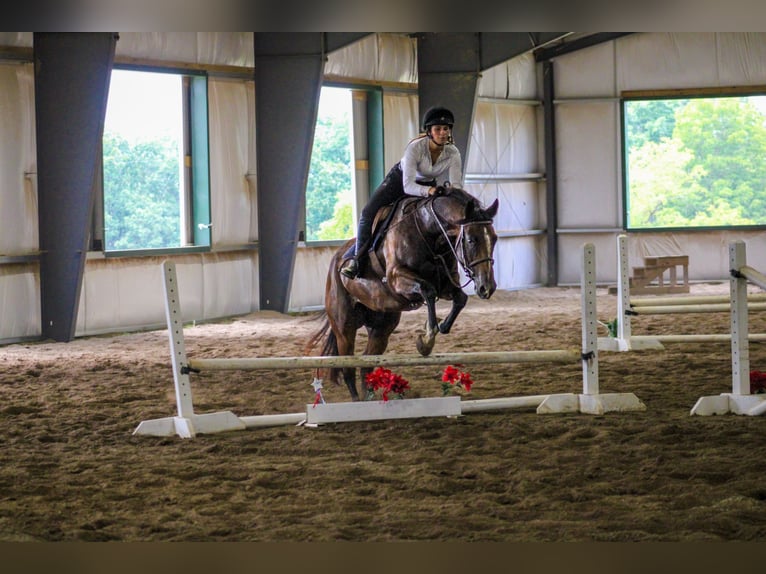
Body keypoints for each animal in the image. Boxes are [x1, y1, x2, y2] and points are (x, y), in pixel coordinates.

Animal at [306, 187, 504, 402]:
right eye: (471, 240)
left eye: (494, 238)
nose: (487, 287)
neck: (429, 232)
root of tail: (336, 260)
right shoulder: (397, 278)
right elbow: (428, 291)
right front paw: (427, 339)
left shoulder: (445, 284)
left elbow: (460, 299)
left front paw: (440, 327)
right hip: (344, 328)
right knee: (348, 366)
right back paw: (357, 402)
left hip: (381, 327)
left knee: (366, 365)